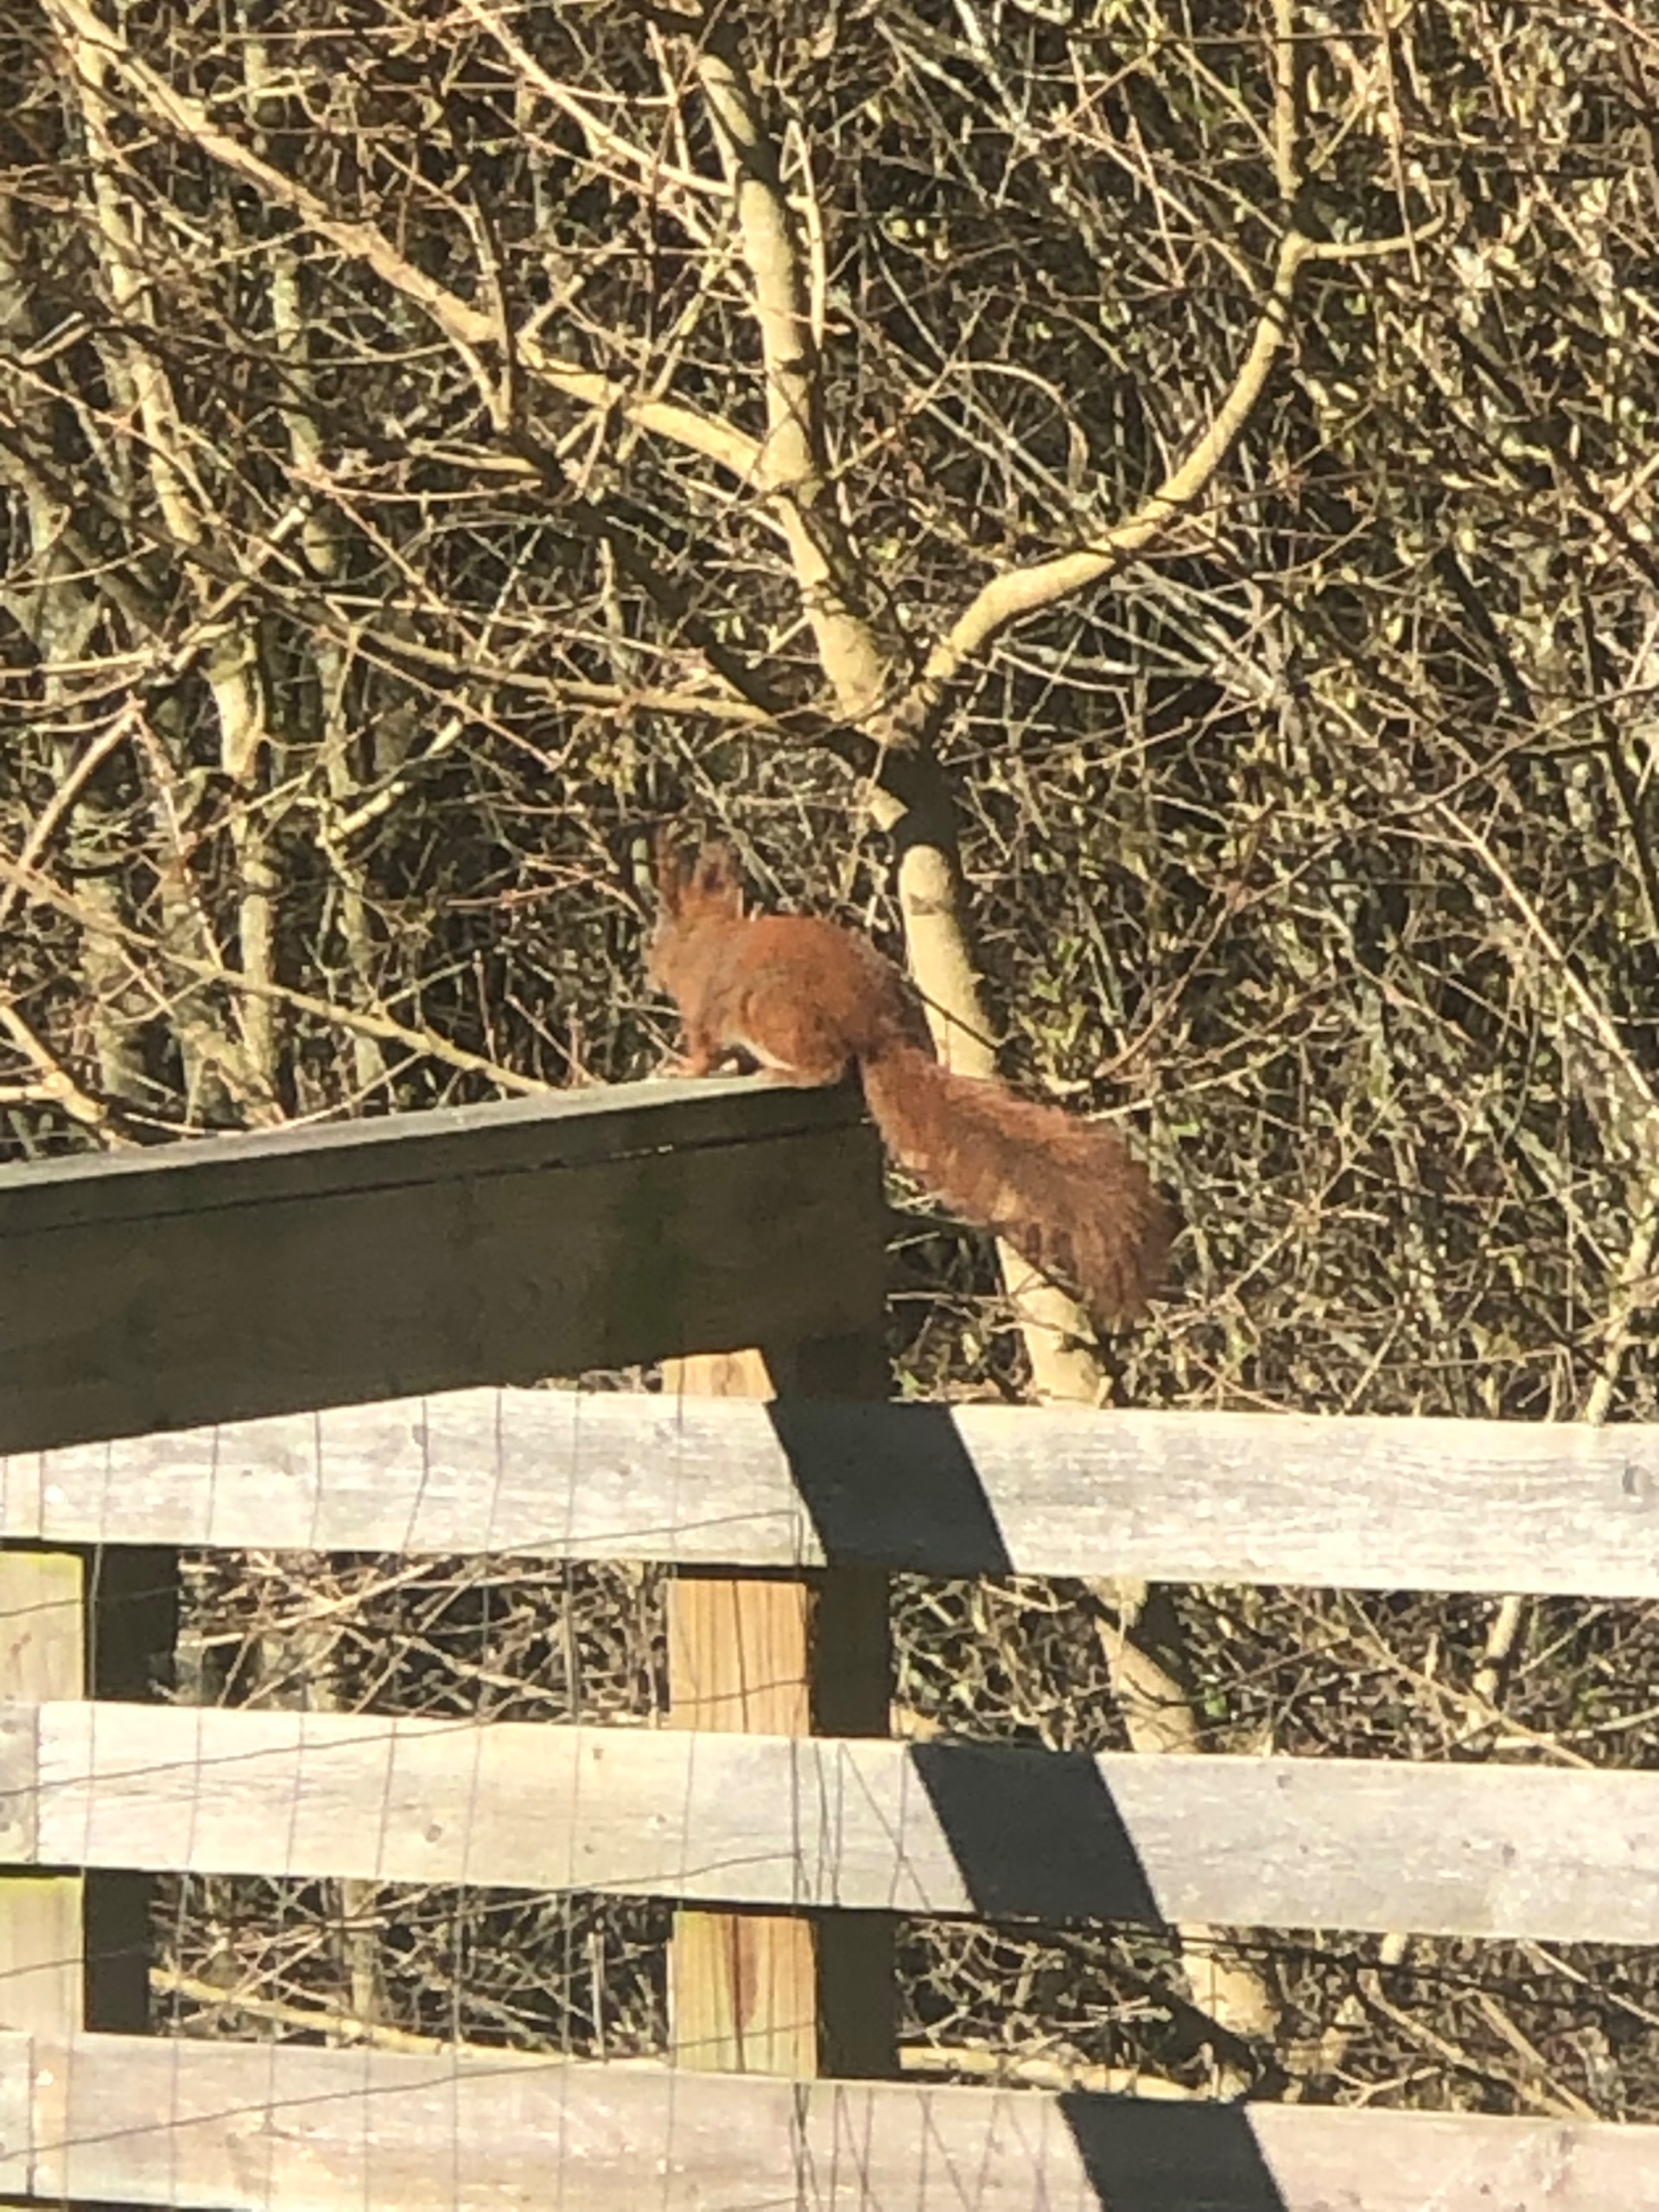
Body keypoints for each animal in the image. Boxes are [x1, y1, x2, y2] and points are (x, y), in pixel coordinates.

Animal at [648, 837, 1172, 1328]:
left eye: (657, 942)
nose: (651, 975)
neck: (706, 940)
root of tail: (876, 1031)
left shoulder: (703, 1014)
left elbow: (703, 1052)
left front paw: (679, 1069)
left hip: (775, 1013)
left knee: (826, 1069)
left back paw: (781, 1071)